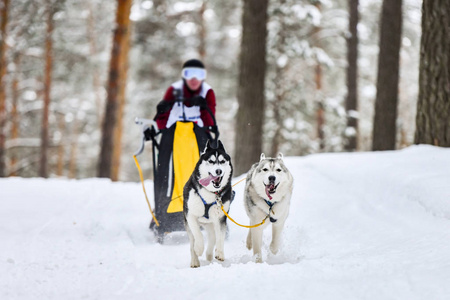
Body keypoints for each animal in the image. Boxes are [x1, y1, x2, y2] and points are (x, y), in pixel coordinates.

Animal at [183, 139, 234, 268]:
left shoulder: (221, 218)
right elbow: (198, 235)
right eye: (211, 161)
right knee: (192, 242)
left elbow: (220, 237)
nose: (218, 171)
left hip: (211, 224)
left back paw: (210, 255)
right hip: (189, 225)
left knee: (212, 238)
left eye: (222, 161)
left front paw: (220, 253)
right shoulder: (190, 216)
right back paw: (195, 260)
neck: (211, 193)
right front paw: (199, 249)